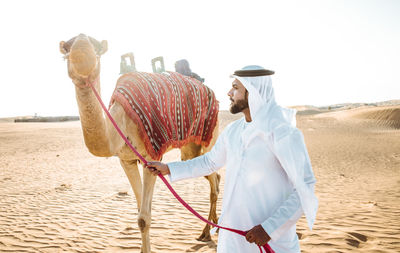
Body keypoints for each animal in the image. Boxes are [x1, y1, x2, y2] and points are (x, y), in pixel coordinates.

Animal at [59, 34, 220, 253]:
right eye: (66, 52)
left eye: (98, 50)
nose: (81, 55)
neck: (120, 123)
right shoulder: (126, 160)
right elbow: (139, 211)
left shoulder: (151, 159)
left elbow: (144, 218)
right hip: (190, 149)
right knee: (213, 175)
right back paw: (213, 226)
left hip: (209, 136)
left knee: (214, 178)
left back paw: (206, 232)